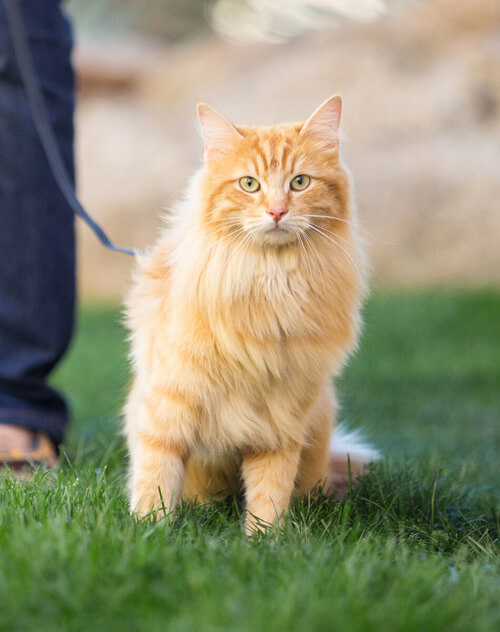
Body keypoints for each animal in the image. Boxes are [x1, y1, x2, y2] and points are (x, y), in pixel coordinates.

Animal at [125, 95, 378, 532]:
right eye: (249, 184)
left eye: (299, 182)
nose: (276, 212)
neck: (269, 284)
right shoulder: (167, 407)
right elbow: (155, 478)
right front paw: (149, 529)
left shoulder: (282, 419)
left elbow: (269, 492)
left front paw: (264, 539)